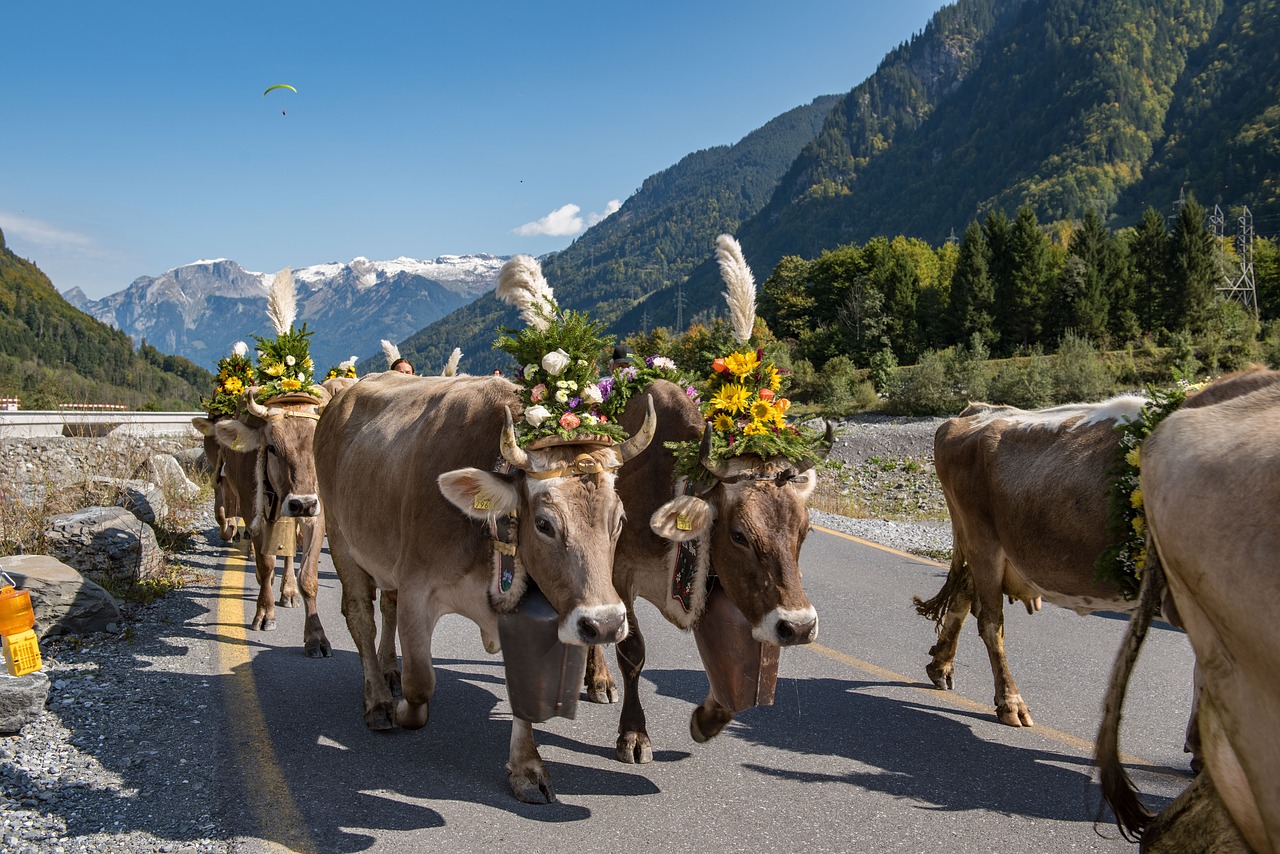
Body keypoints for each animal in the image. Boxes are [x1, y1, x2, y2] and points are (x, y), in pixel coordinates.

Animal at [308, 371, 650, 804]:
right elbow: (421, 684)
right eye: (543, 524)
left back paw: (388, 671)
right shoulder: (418, 588)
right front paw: (404, 711)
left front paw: (526, 768)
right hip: (340, 537)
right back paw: (380, 701)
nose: (604, 625)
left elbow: (524, 688)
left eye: (619, 520)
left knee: (386, 606)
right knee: (361, 619)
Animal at [586, 376, 824, 763]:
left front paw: (707, 719)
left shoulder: (716, 584)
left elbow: (735, 667)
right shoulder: (620, 577)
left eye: (804, 531)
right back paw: (600, 680)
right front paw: (634, 734)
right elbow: (632, 652)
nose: (799, 627)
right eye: (739, 535)